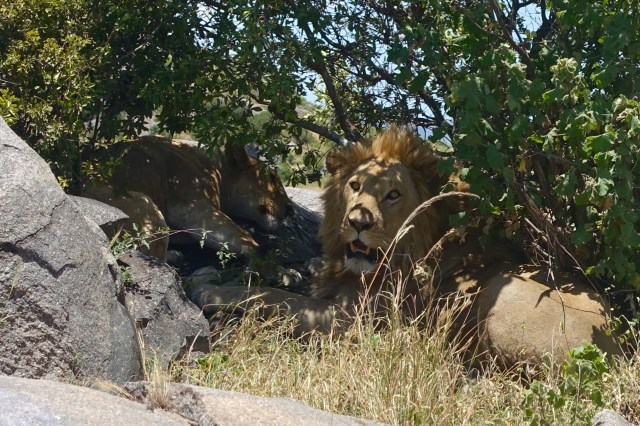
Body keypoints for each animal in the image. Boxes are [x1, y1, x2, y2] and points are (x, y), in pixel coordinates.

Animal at [189, 127, 623, 367]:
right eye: (355, 186)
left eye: (393, 194)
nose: (358, 223)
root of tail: (622, 344)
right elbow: (286, 284)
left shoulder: (354, 320)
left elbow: (275, 299)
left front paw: (209, 289)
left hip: (500, 296)